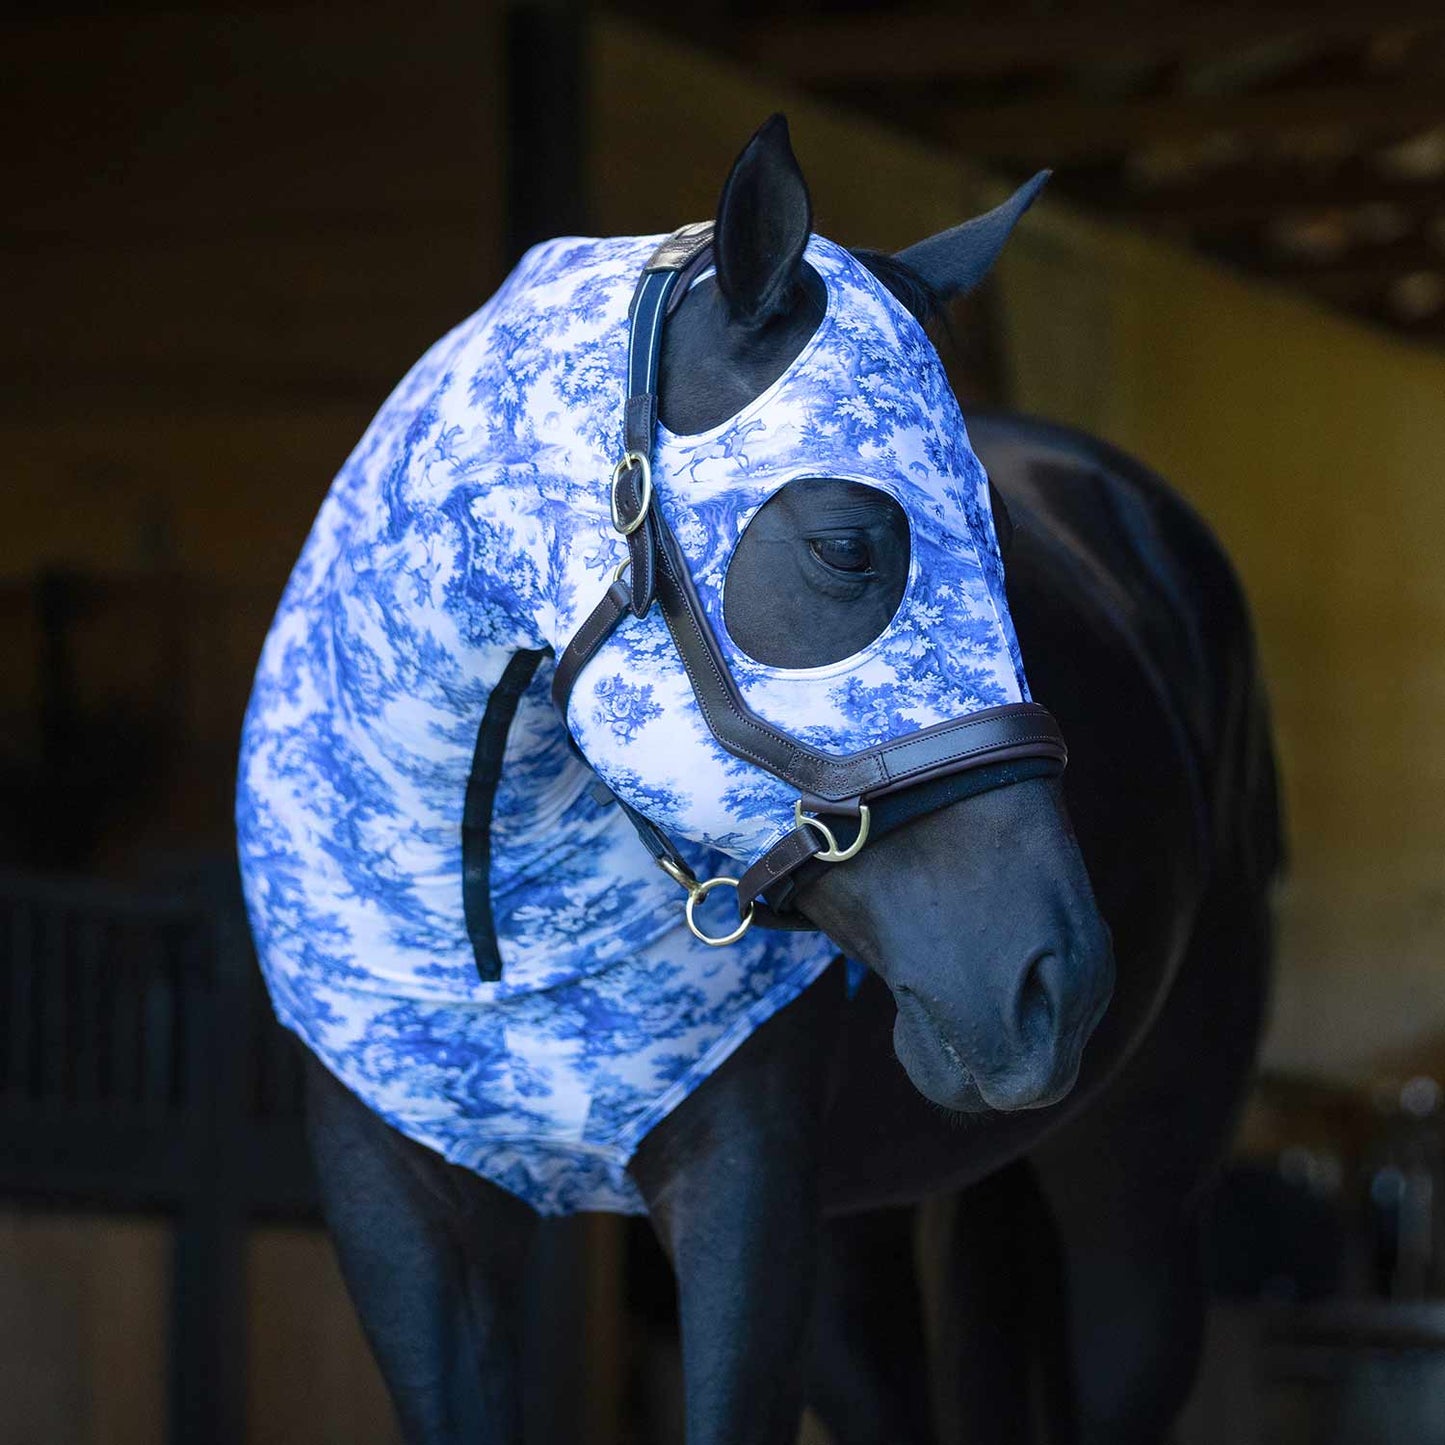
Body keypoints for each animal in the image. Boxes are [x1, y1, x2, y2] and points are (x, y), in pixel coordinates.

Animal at [236, 114, 1278, 1444]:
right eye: (845, 545)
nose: (1059, 981)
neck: (486, 929)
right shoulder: (407, 1212)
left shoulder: (745, 1199)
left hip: (1132, 1220)